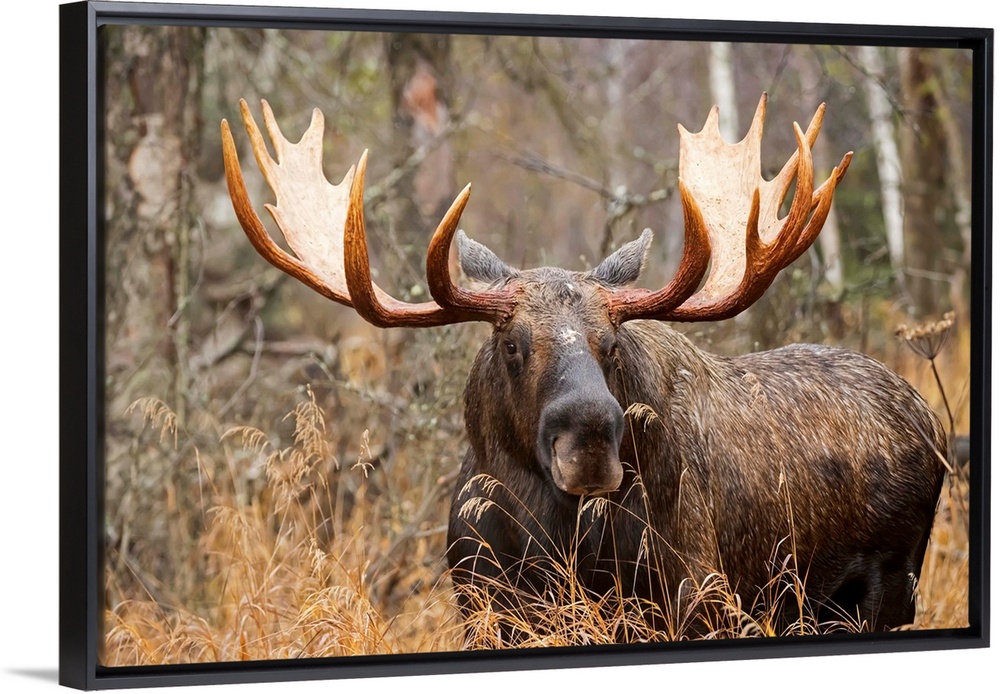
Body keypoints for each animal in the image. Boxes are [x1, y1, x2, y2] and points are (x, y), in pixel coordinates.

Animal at [220, 94, 947, 643]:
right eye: (512, 344)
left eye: (612, 344)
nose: (591, 439)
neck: (545, 535)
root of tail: (930, 421)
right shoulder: (483, 606)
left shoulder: (697, 597)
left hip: (890, 583)